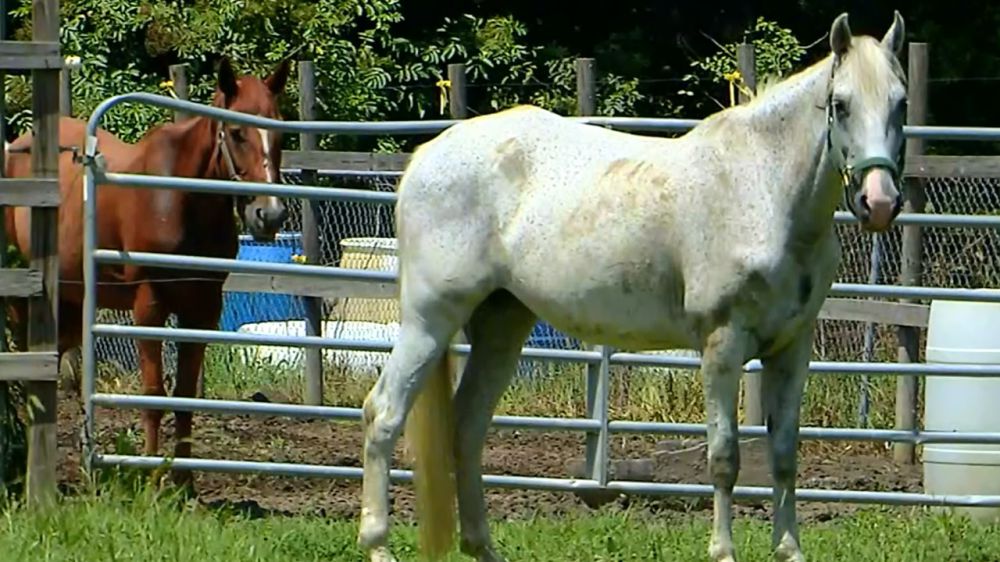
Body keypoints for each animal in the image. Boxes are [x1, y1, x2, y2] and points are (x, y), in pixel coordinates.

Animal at [3, 56, 292, 487]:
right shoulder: (149, 307)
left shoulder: (202, 311)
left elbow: (185, 396)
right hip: (21, 301)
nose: (268, 215)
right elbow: (153, 396)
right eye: (237, 133)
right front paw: (155, 484)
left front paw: (184, 486)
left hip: (70, 305)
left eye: (281, 132)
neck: (181, 201)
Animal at [358, 11, 907, 562]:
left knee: (467, 427)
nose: (879, 202)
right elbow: (724, 457)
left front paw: (789, 550)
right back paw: (378, 543)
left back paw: (481, 547)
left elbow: (784, 455)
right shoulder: (722, 346)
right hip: (429, 321)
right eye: (841, 105)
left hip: (500, 325)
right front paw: (723, 550)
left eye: (901, 102)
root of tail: (426, 156)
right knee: (383, 414)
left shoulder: (792, 349)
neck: (762, 189)